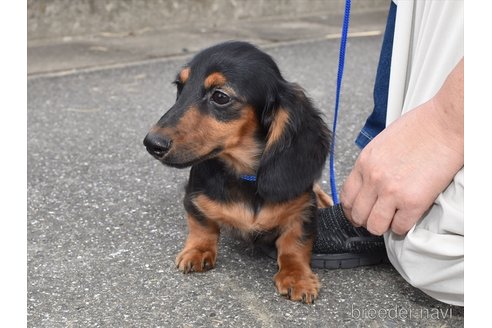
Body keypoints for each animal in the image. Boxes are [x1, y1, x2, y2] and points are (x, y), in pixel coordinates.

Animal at [144, 41, 332, 304]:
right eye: (180, 87)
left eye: (220, 96)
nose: (152, 143)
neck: (245, 176)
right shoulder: (194, 197)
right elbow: (202, 225)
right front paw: (197, 250)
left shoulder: (303, 209)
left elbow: (294, 243)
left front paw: (297, 277)